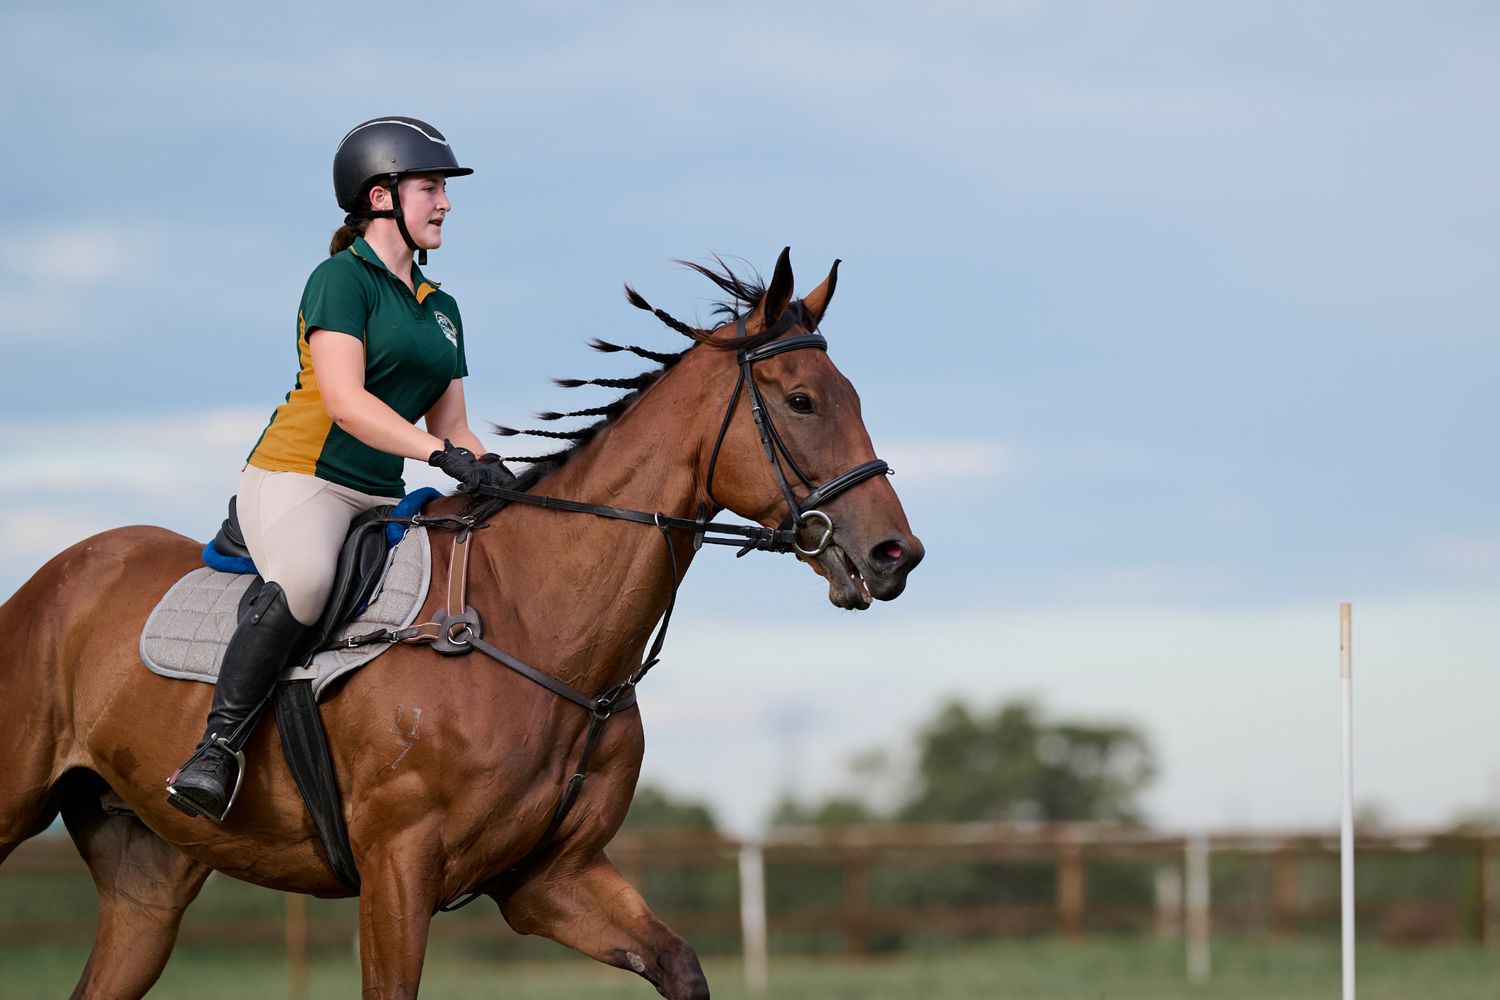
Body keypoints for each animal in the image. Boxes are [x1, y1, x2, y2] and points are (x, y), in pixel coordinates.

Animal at [0, 248, 923, 999]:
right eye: (802, 401)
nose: (896, 555)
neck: (539, 626)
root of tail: (47, 584)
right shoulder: (398, 869)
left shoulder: (551, 877)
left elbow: (679, 965)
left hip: (148, 881)